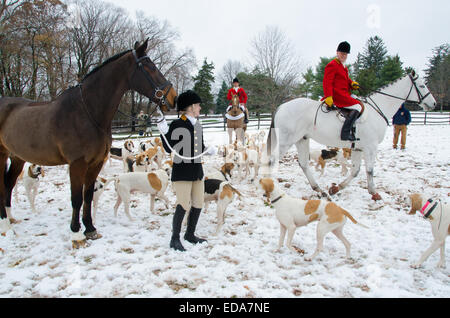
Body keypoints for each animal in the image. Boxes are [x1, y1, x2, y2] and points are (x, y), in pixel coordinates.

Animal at [0, 39, 178, 247]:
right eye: (150, 67)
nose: (173, 97)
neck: (87, 113)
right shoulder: (77, 164)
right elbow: (77, 198)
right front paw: (76, 233)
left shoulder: (96, 163)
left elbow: (88, 195)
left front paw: (90, 228)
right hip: (2, 156)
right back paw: (5, 226)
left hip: (17, 158)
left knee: (8, 185)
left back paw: (10, 220)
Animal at [268, 73, 436, 200]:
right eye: (422, 86)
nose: (433, 104)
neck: (377, 110)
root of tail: (282, 106)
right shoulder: (370, 146)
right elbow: (369, 170)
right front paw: (374, 193)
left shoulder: (358, 148)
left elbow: (355, 171)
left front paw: (336, 189)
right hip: (286, 141)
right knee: (272, 161)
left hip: (301, 140)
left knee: (303, 164)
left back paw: (319, 190)